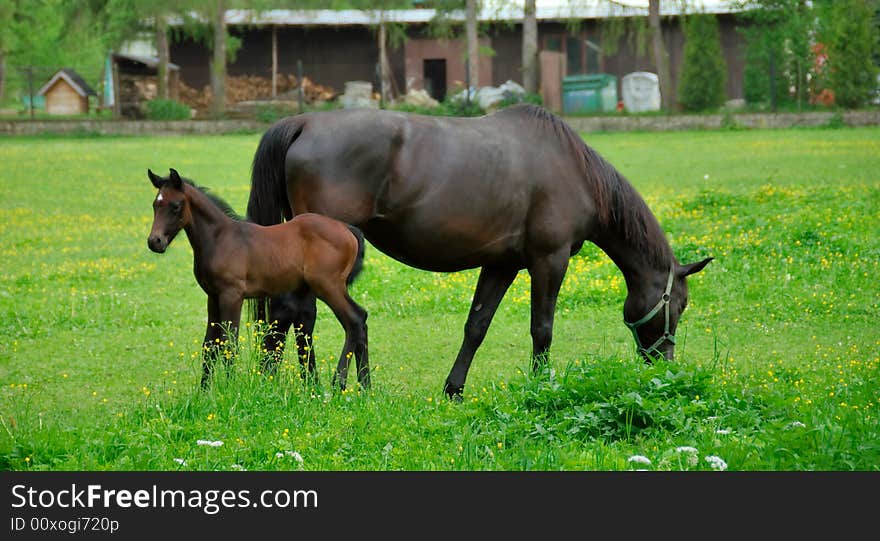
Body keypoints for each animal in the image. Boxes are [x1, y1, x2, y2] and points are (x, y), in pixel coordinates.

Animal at [148, 168, 368, 388]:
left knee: (354, 320)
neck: (220, 238)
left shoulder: (232, 295)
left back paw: (339, 382)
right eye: (155, 205)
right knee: (356, 319)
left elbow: (230, 345)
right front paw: (204, 391)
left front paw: (230, 388)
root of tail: (347, 229)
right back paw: (362, 386)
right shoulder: (213, 296)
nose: (154, 242)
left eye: (176, 205)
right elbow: (209, 346)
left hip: (328, 286)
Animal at [244, 104, 712, 396]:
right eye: (680, 305)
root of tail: (304, 123)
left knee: (295, 315)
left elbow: (477, 326)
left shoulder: (502, 264)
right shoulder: (550, 259)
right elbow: (542, 329)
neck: (573, 170)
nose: (666, 366)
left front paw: (454, 389)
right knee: (296, 314)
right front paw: (540, 386)